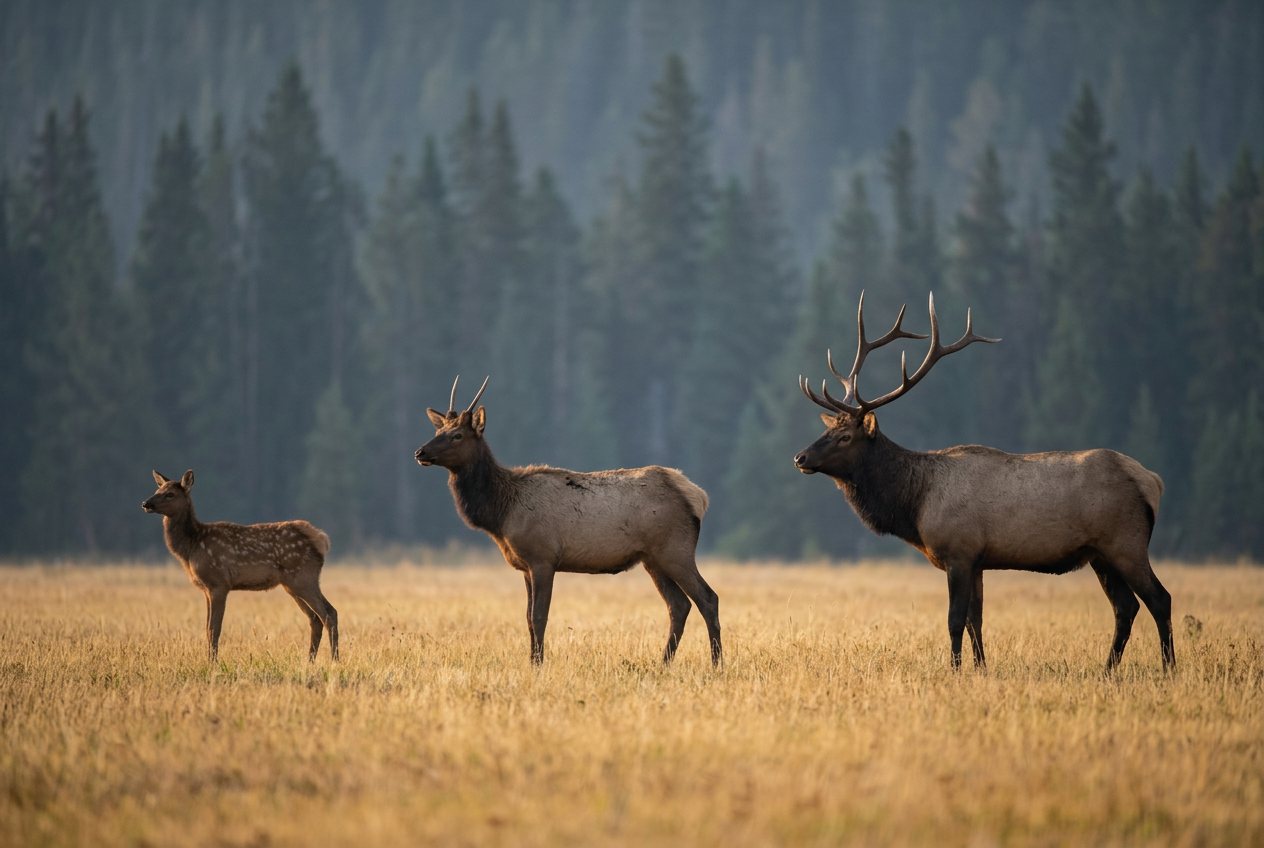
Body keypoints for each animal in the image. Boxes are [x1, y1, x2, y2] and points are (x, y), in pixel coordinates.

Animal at [141, 470, 339, 661]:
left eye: (170, 494)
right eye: (157, 490)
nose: (145, 503)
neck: (192, 546)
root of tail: (321, 539)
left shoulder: (219, 583)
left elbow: (214, 629)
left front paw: (213, 663)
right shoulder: (206, 589)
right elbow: (206, 629)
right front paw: (209, 660)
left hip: (303, 577)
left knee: (329, 614)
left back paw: (334, 660)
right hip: (292, 584)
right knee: (315, 618)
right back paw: (310, 661)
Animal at [414, 376, 721, 666]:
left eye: (457, 435)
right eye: (438, 431)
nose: (420, 452)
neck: (500, 513)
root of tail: (698, 495)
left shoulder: (543, 558)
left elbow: (539, 617)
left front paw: (538, 665)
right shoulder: (525, 566)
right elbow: (527, 618)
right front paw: (532, 661)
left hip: (675, 551)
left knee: (707, 598)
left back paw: (716, 663)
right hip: (652, 559)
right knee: (678, 605)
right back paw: (663, 663)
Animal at [794, 293, 1174, 673]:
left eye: (845, 436)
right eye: (829, 429)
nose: (800, 457)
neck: (915, 503)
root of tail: (1152, 481)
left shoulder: (958, 552)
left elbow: (954, 619)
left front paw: (955, 669)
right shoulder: (977, 561)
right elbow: (975, 620)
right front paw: (980, 668)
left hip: (1126, 542)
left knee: (1159, 598)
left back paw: (1169, 668)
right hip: (1100, 554)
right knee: (1125, 607)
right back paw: (1108, 670)